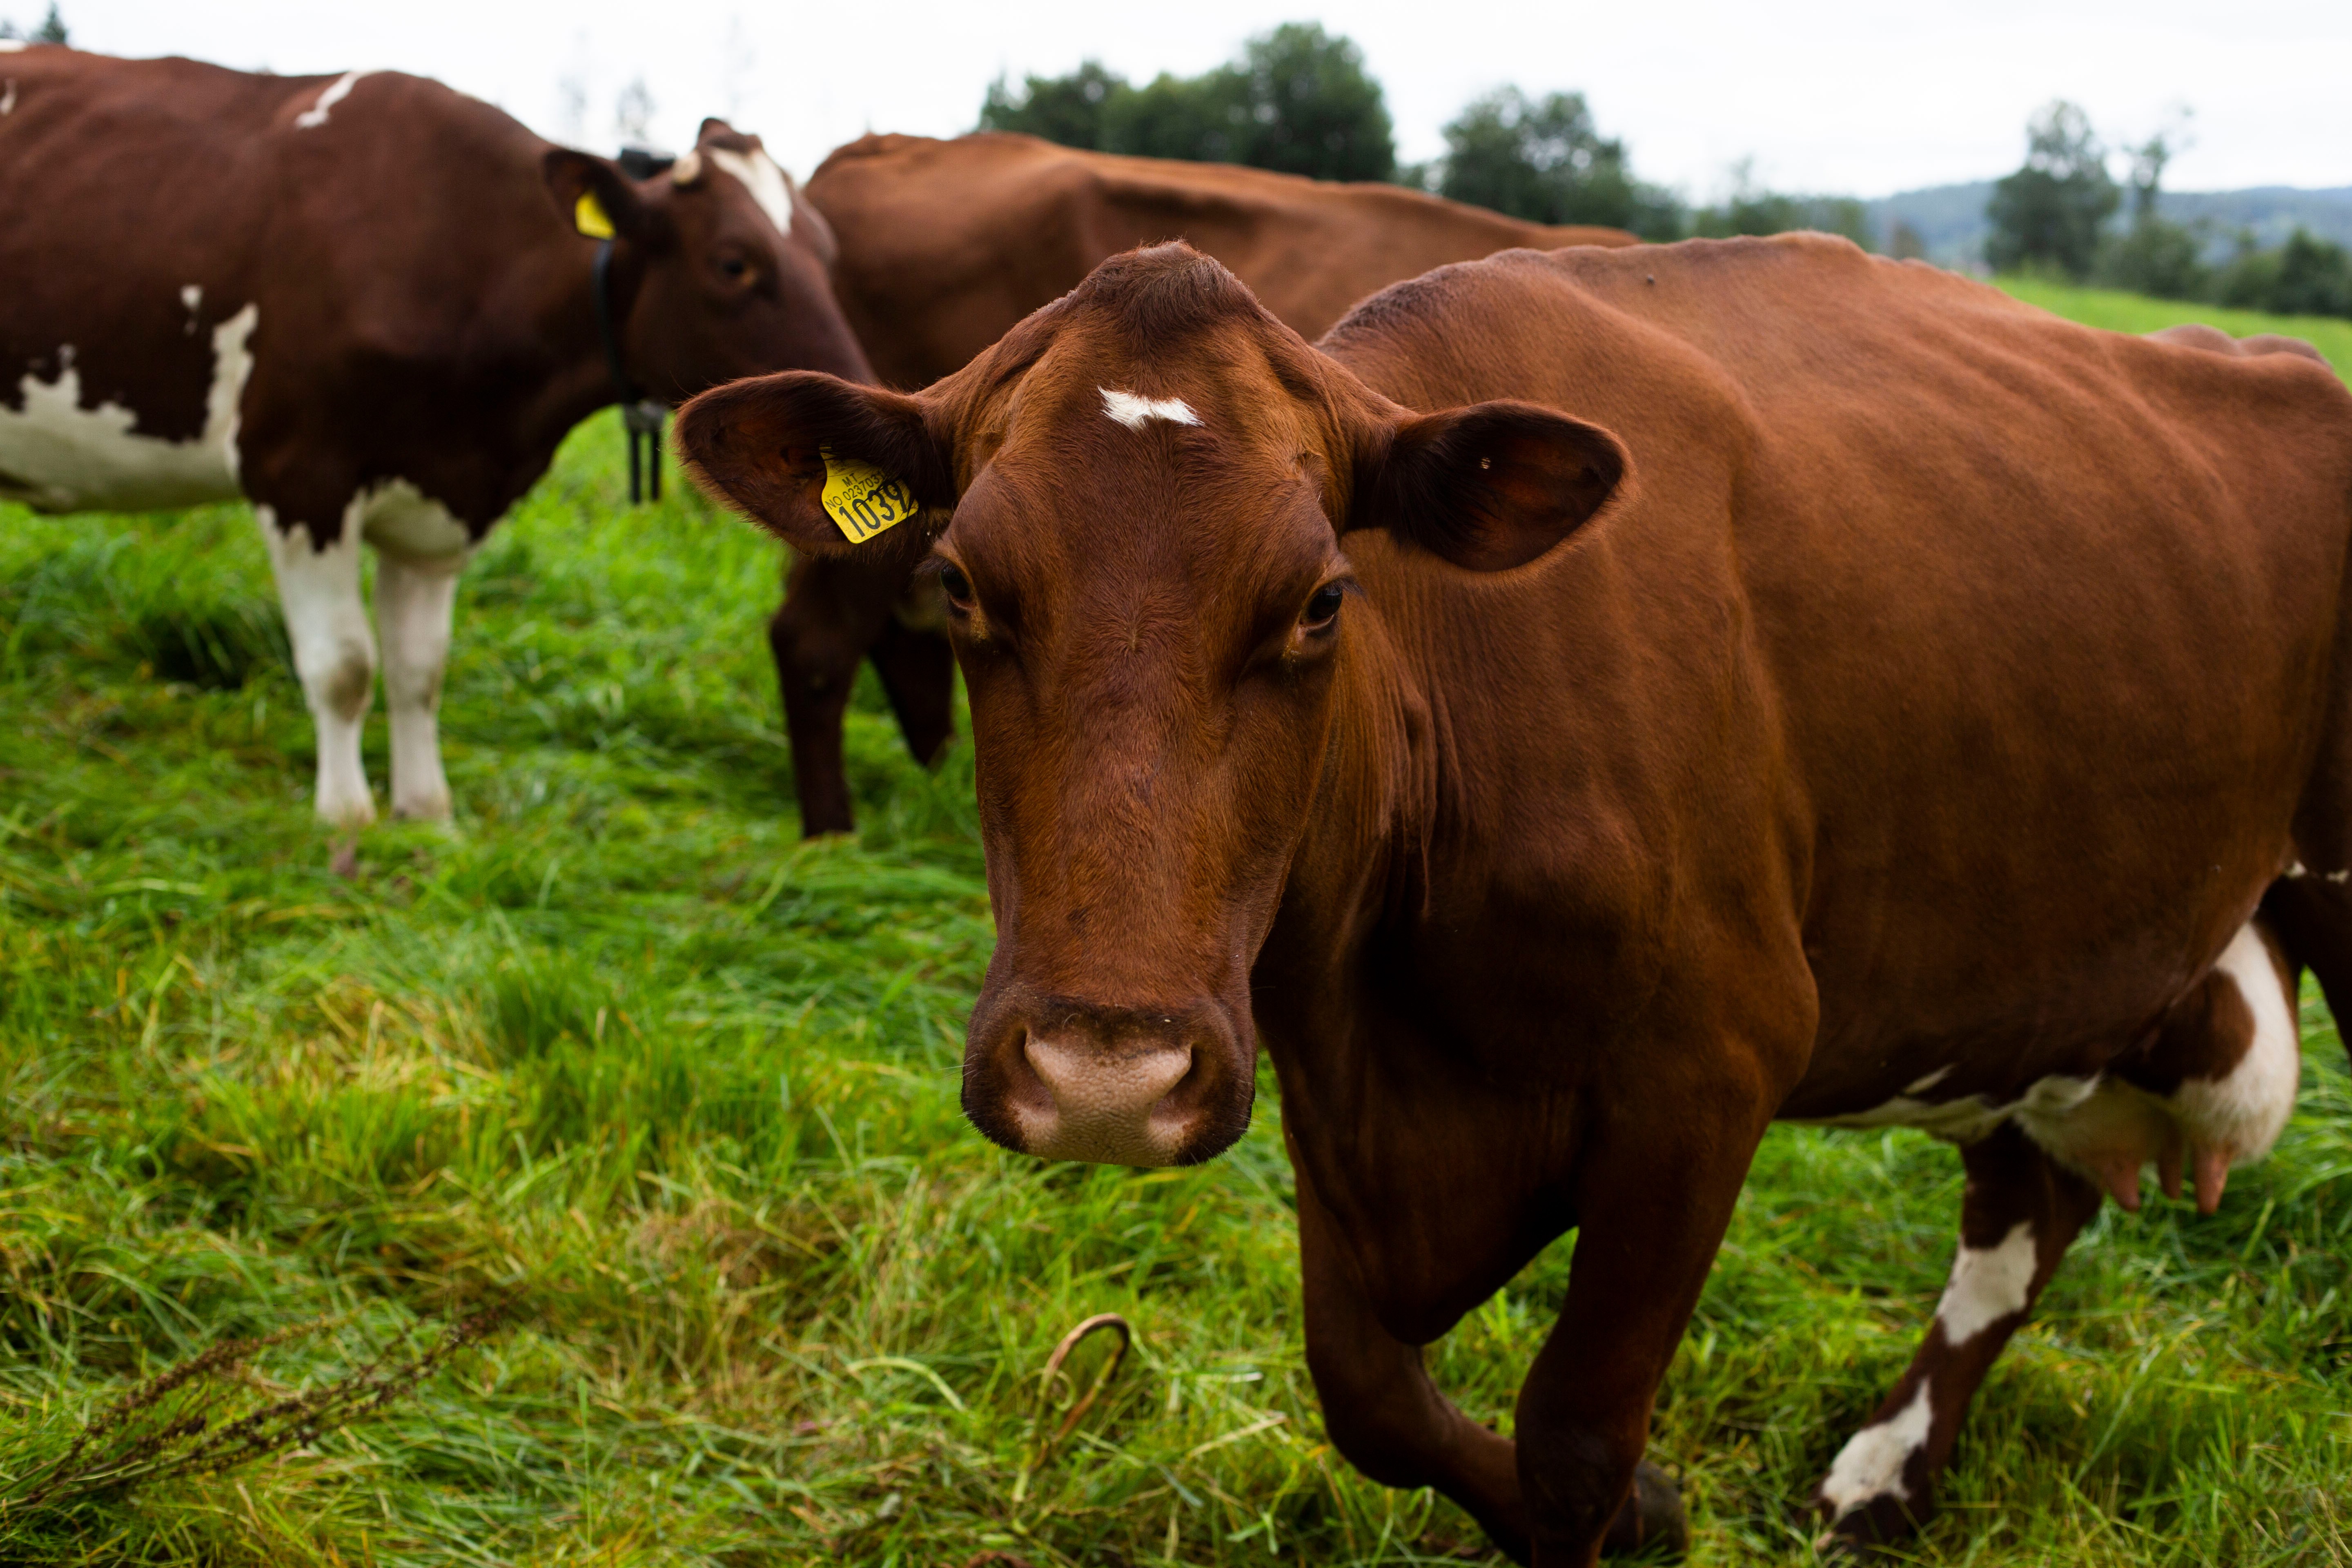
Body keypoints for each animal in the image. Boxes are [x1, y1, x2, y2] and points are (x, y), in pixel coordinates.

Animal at [0, 48, 872, 823]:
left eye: (830, 251)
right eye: (734, 263)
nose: (858, 407)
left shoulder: (443, 494)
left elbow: (419, 669)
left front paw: (427, 815)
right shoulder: (298, 475)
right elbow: (343, 666)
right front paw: (346, 821)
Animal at [676, 237, 2352, 1564]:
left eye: (1321, 602)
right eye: (960, 584)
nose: (1104, 1074)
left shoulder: (1707, 1072)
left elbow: (1568, 1443)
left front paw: (1629, 1502)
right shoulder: (1323, 1068)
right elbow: (1367, 1390)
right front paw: (1664, 1509)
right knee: (2025, 1208)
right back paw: (1882, 1477)